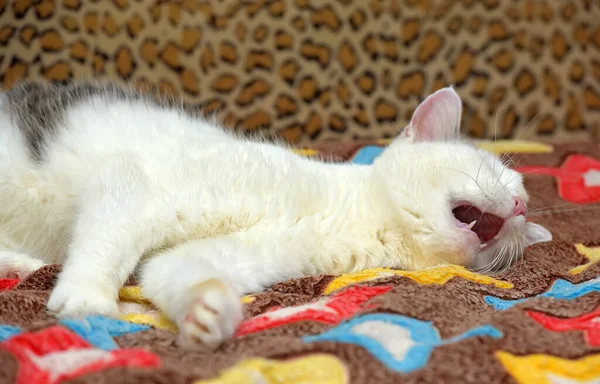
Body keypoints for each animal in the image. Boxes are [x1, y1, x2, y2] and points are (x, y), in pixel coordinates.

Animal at [0, 84, 552, 352]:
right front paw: (88, 298)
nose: (522, 206)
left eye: (525, 220)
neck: (347, 217)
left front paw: (208, 313)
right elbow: (109, 236)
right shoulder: (137, 182)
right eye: (502, 174)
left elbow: (171, 272)